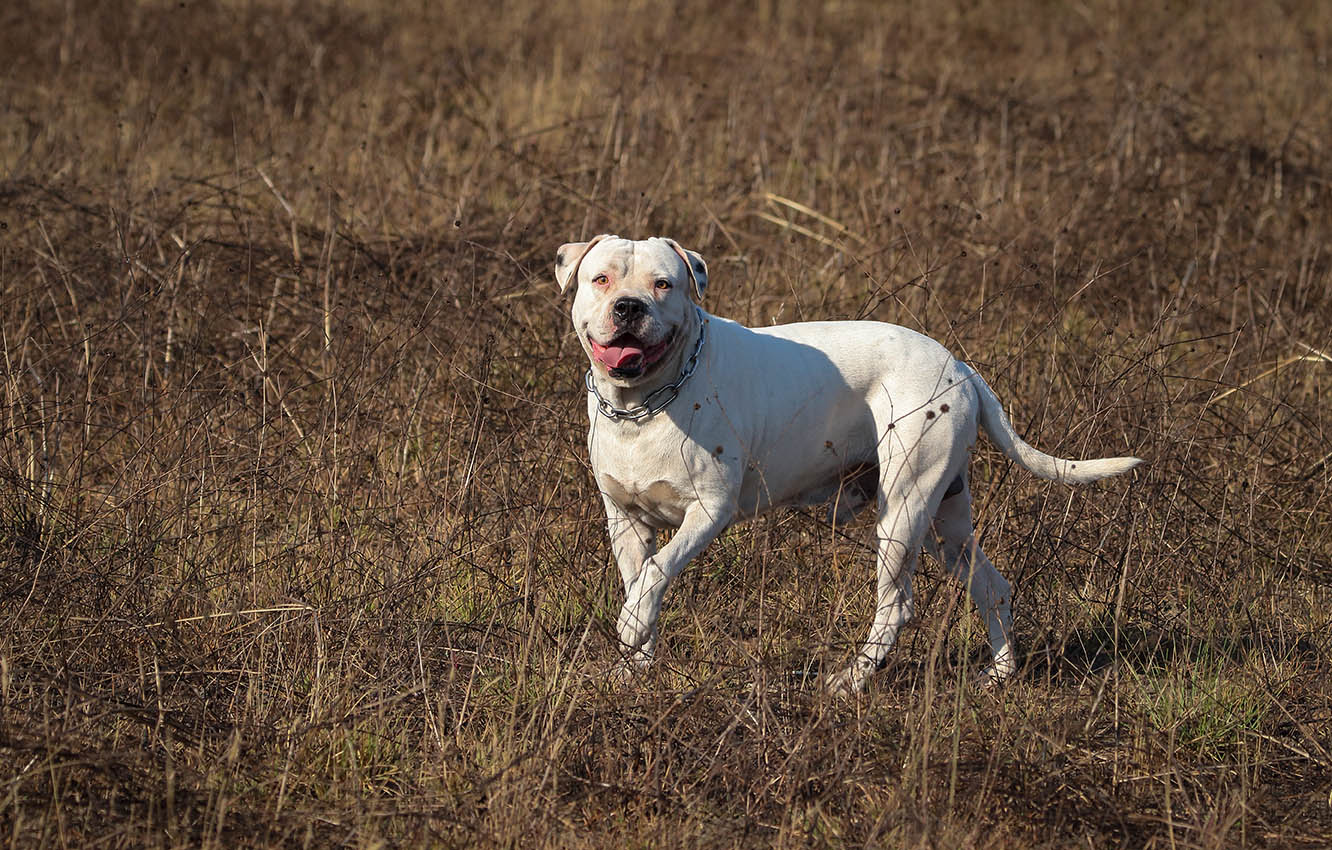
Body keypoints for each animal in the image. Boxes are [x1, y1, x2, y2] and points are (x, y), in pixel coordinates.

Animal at [556, 234, 1140, 698]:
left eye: (664, 284)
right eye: (601, 278)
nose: (628, 307)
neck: (644, 405)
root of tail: (959, 365)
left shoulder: (709, 512)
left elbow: (654, 574)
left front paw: (631, 626)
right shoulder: (626, 522)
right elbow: (642, 579)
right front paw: (633, 668)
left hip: (903, 508)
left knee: (897, 606)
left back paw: (849, 680)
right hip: (945, 521)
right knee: (992, 586)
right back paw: (998, 676)